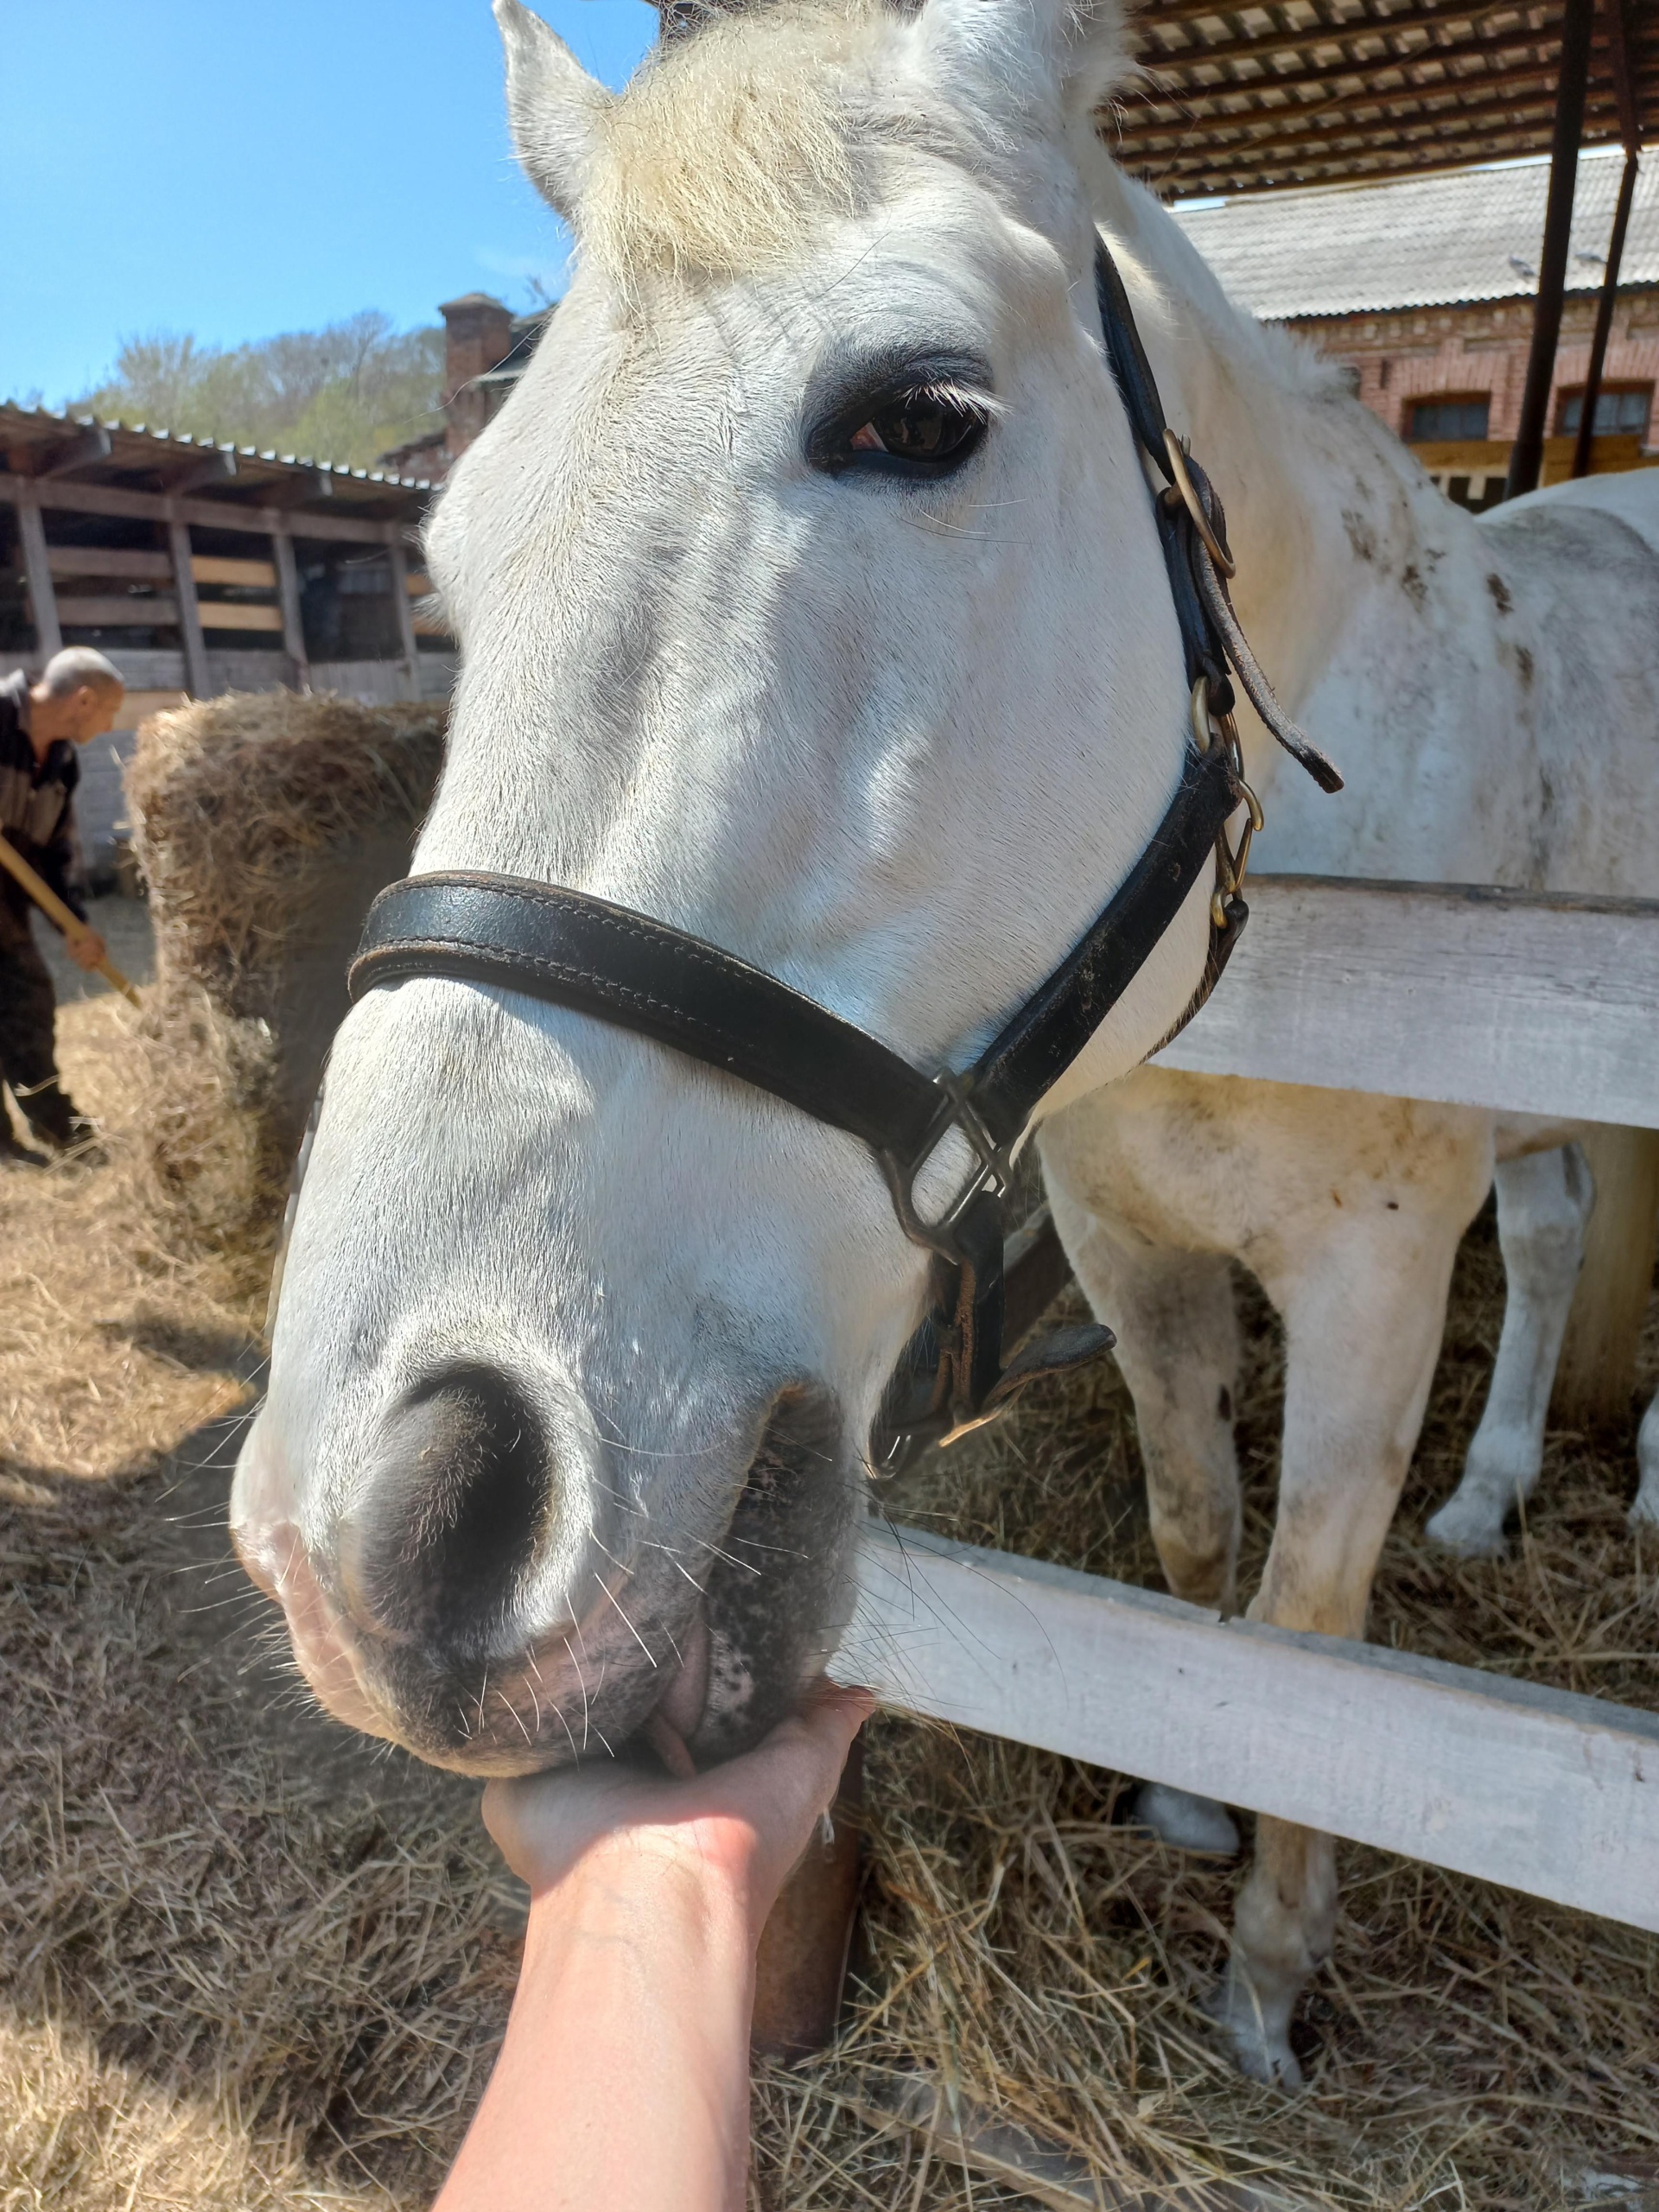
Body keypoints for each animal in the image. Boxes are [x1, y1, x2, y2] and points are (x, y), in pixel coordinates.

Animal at [234, 0, 1659, 2088]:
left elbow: (1306, 1632)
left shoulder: (1380, 1277)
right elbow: (1191, 1538)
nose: (393, 1524)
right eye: (454, 547)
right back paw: (1487, 1498)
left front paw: (1267, 1979)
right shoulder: (1136, 1248)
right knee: (1553, 1245)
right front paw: (1188, 1804)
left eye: (917, 419)